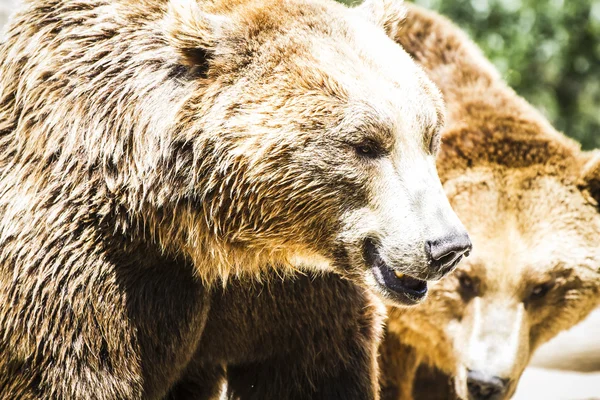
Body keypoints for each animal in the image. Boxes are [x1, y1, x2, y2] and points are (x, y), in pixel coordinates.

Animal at [0, 0, 472, 398]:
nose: (448, 245)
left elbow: (315, 373)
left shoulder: (295, 291)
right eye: (367, 144)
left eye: (430, 135)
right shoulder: (87, 269)